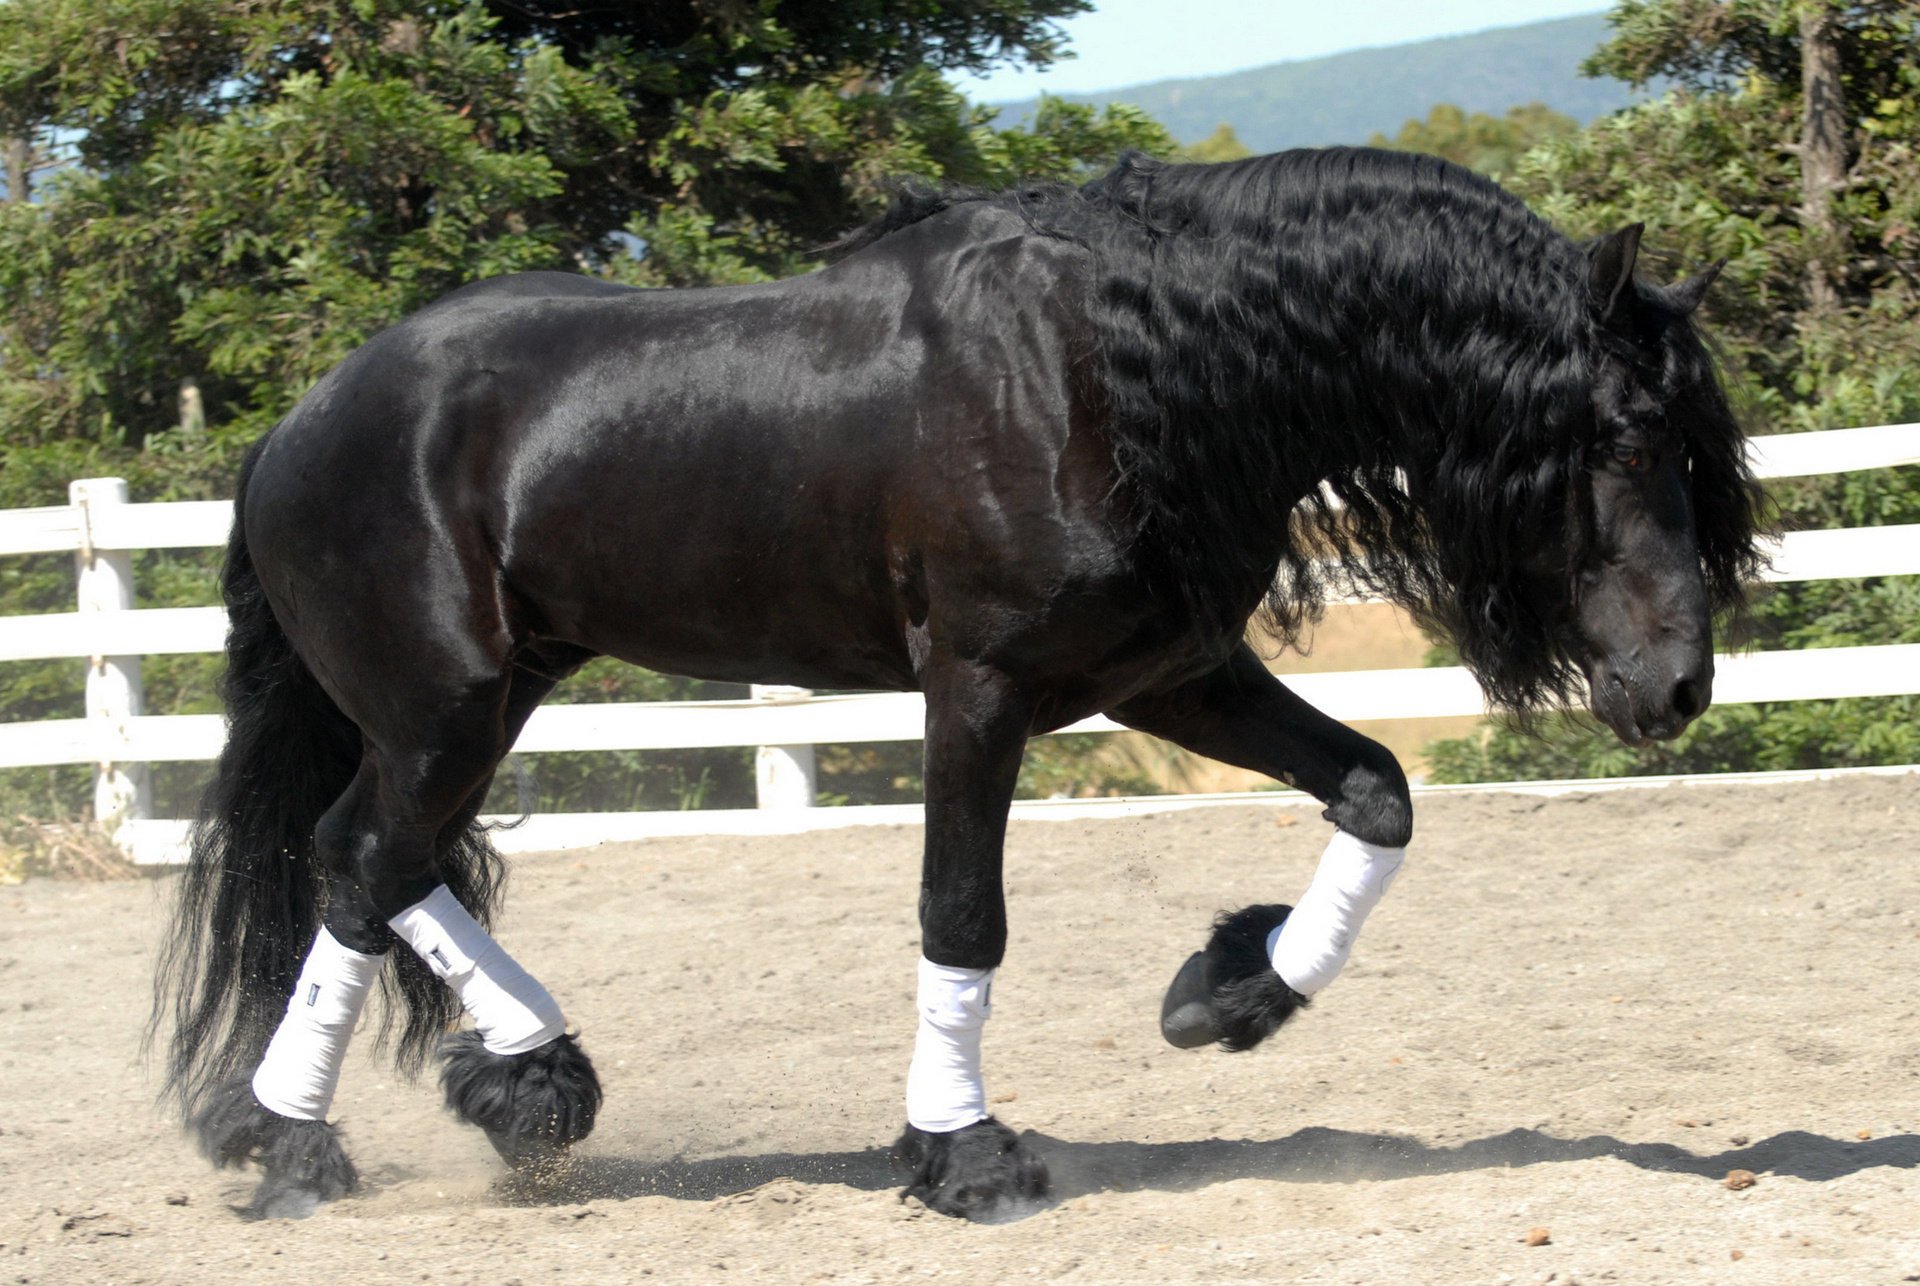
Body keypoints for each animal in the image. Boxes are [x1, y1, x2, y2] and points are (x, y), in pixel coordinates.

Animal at [153, 146, 1763, 1221]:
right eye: (1623, 434)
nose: (1679, 684)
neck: (1109, 370)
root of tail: (300, 422)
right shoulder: (978, 691)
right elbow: (962, 915)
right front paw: (964, 1151)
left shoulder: (1168, 671)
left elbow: (1376, 790)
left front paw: (1231, 991)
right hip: (445, 703)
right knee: (365, 862)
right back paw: (303, 1144)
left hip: (493, 696)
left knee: (374, 862)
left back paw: (513, 1085)